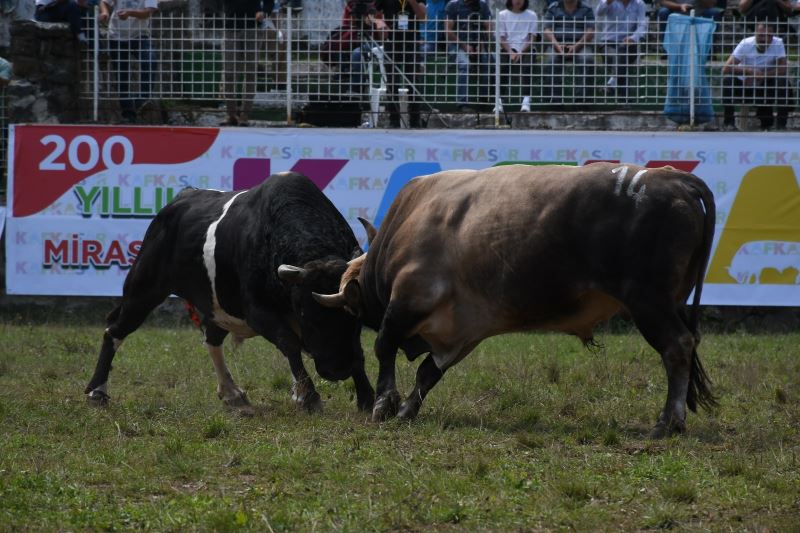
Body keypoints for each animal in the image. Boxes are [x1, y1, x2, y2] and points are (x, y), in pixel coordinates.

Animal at [83, 170, 376, 412]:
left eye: (354, 318)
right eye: (305, 312)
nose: (337, 368)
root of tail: (179, 201)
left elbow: (358, 351)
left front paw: (366, 397)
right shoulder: (258, 312)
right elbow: (289, 342)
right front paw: (307, 396)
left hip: (216, 306)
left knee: (212, 340)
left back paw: (232, 393)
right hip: (143, 290)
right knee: (114, 330)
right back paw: (97, 391)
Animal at [312, 162, 720, 436]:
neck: (409, 219)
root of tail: (674, 178)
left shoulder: (410, 298)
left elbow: (385, 346)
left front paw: (384, 404)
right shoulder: (463, 331)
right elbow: (429, 372)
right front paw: (408, 408)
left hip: (649, 302)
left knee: (677, 347)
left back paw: (668, 421)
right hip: (668, 302)